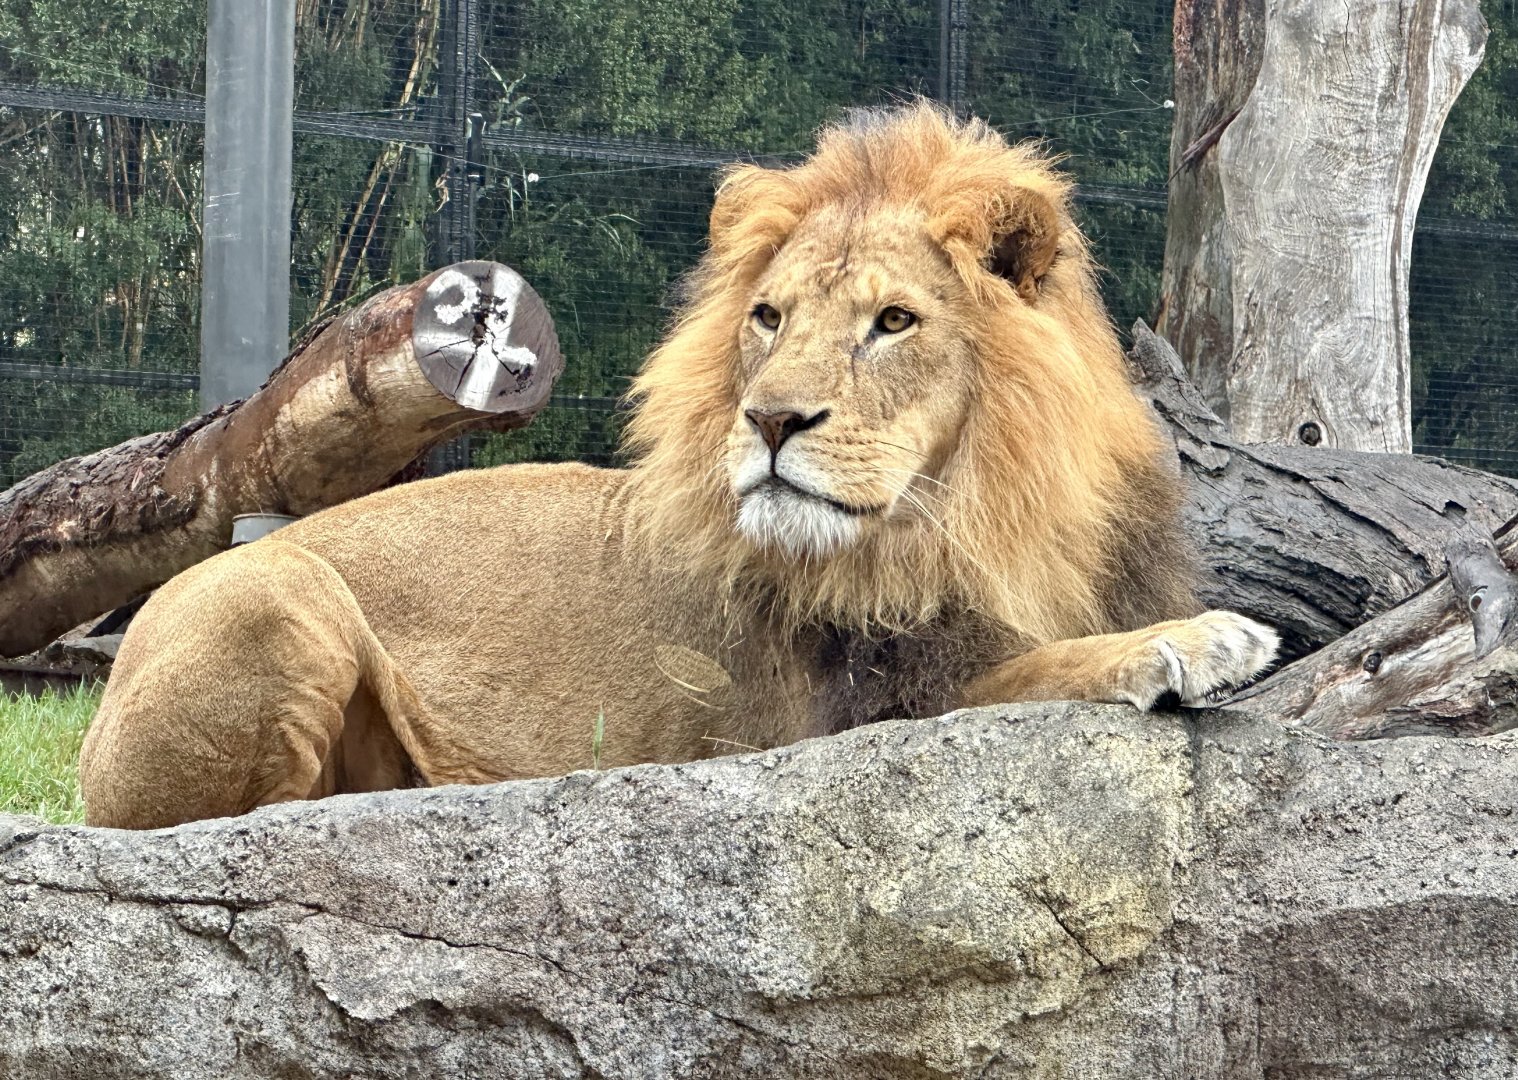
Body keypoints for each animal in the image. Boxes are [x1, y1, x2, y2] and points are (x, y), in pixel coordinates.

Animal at [80, 104, 1277, 830]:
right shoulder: (828, 724)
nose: (773, 419)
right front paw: (1196, 641)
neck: (984, 520)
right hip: (279, 596)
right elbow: (1025, 674)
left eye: (893, 321)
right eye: (768, 317)